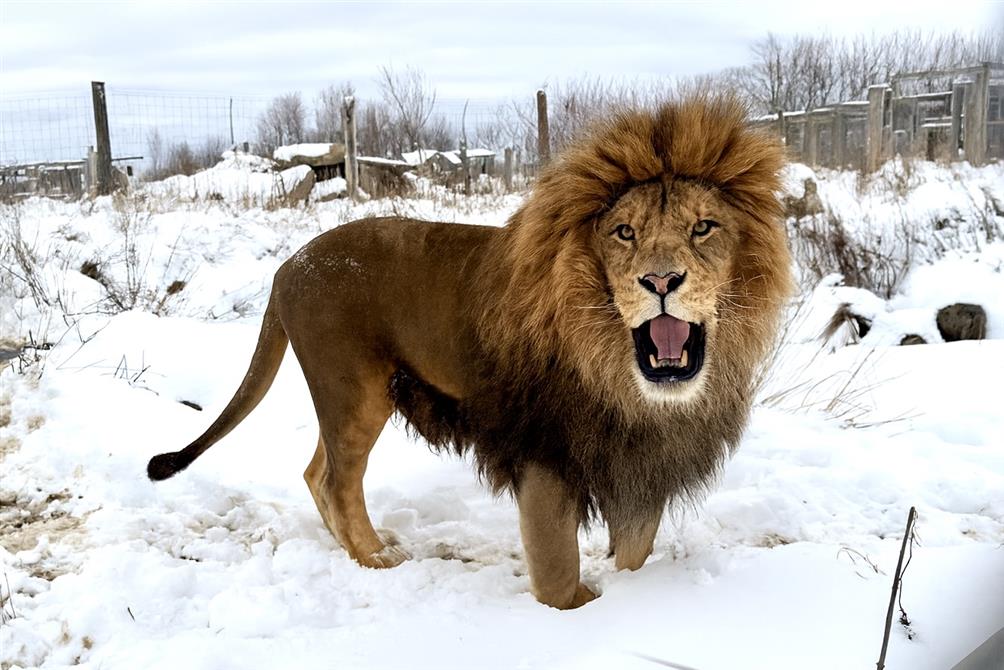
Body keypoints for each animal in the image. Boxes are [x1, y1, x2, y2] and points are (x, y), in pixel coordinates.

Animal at [148, 95, 791, 610]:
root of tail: (287, 266)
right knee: (335, 481)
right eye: (624, 232)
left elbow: (636, 548)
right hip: (353, 392)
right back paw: (376, 559)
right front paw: (582, 615)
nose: (660, 281)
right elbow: (558, 576)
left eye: (704, 228)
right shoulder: (545, 452)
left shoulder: (640, 461)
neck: (624, 375)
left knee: (315, 471)